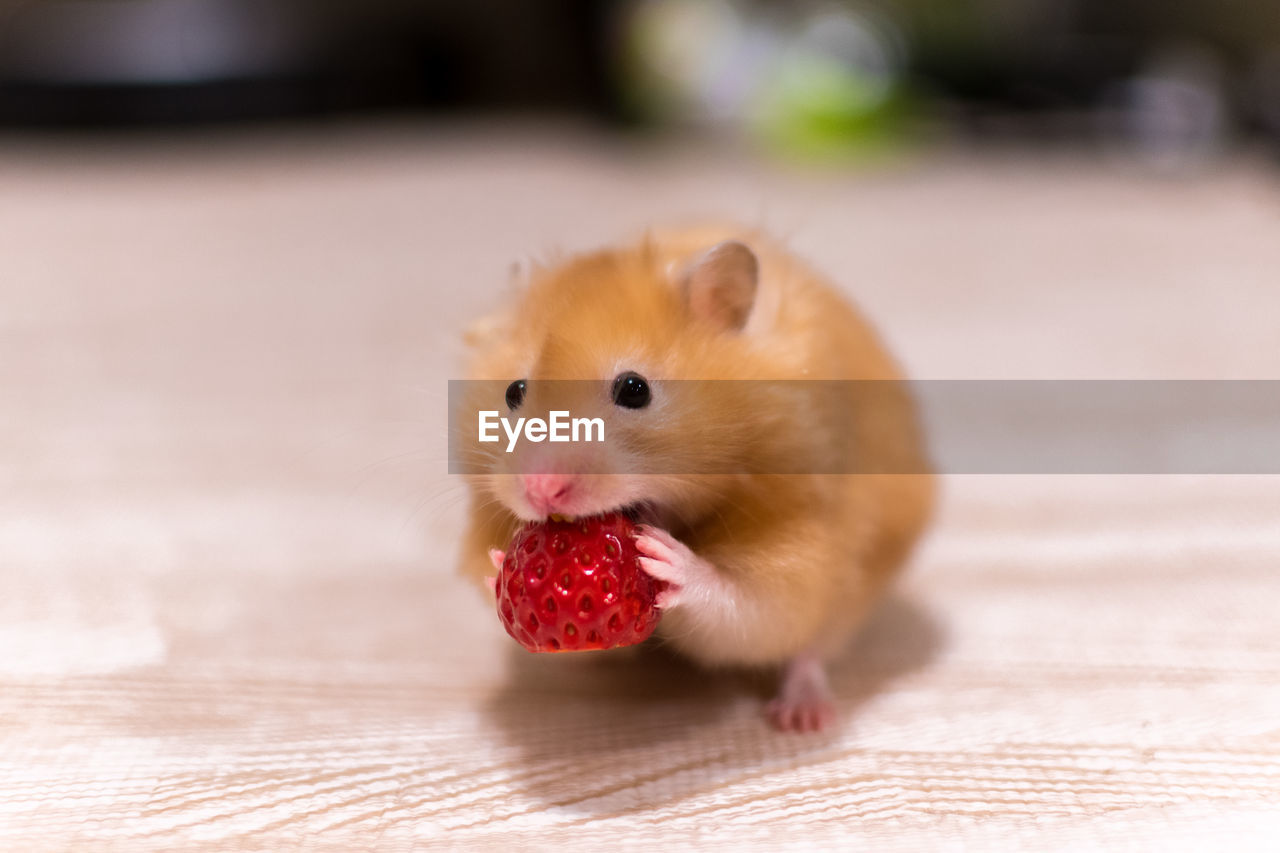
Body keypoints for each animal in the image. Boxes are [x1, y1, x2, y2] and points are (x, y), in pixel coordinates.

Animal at [455, 225, 936, 732]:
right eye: (514, 391)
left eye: (634, 389)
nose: (540, 490)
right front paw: (495, 564)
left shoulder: (802, 534)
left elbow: (749, 605)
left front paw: (664, 559)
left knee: (810, 650)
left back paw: (801, 718)